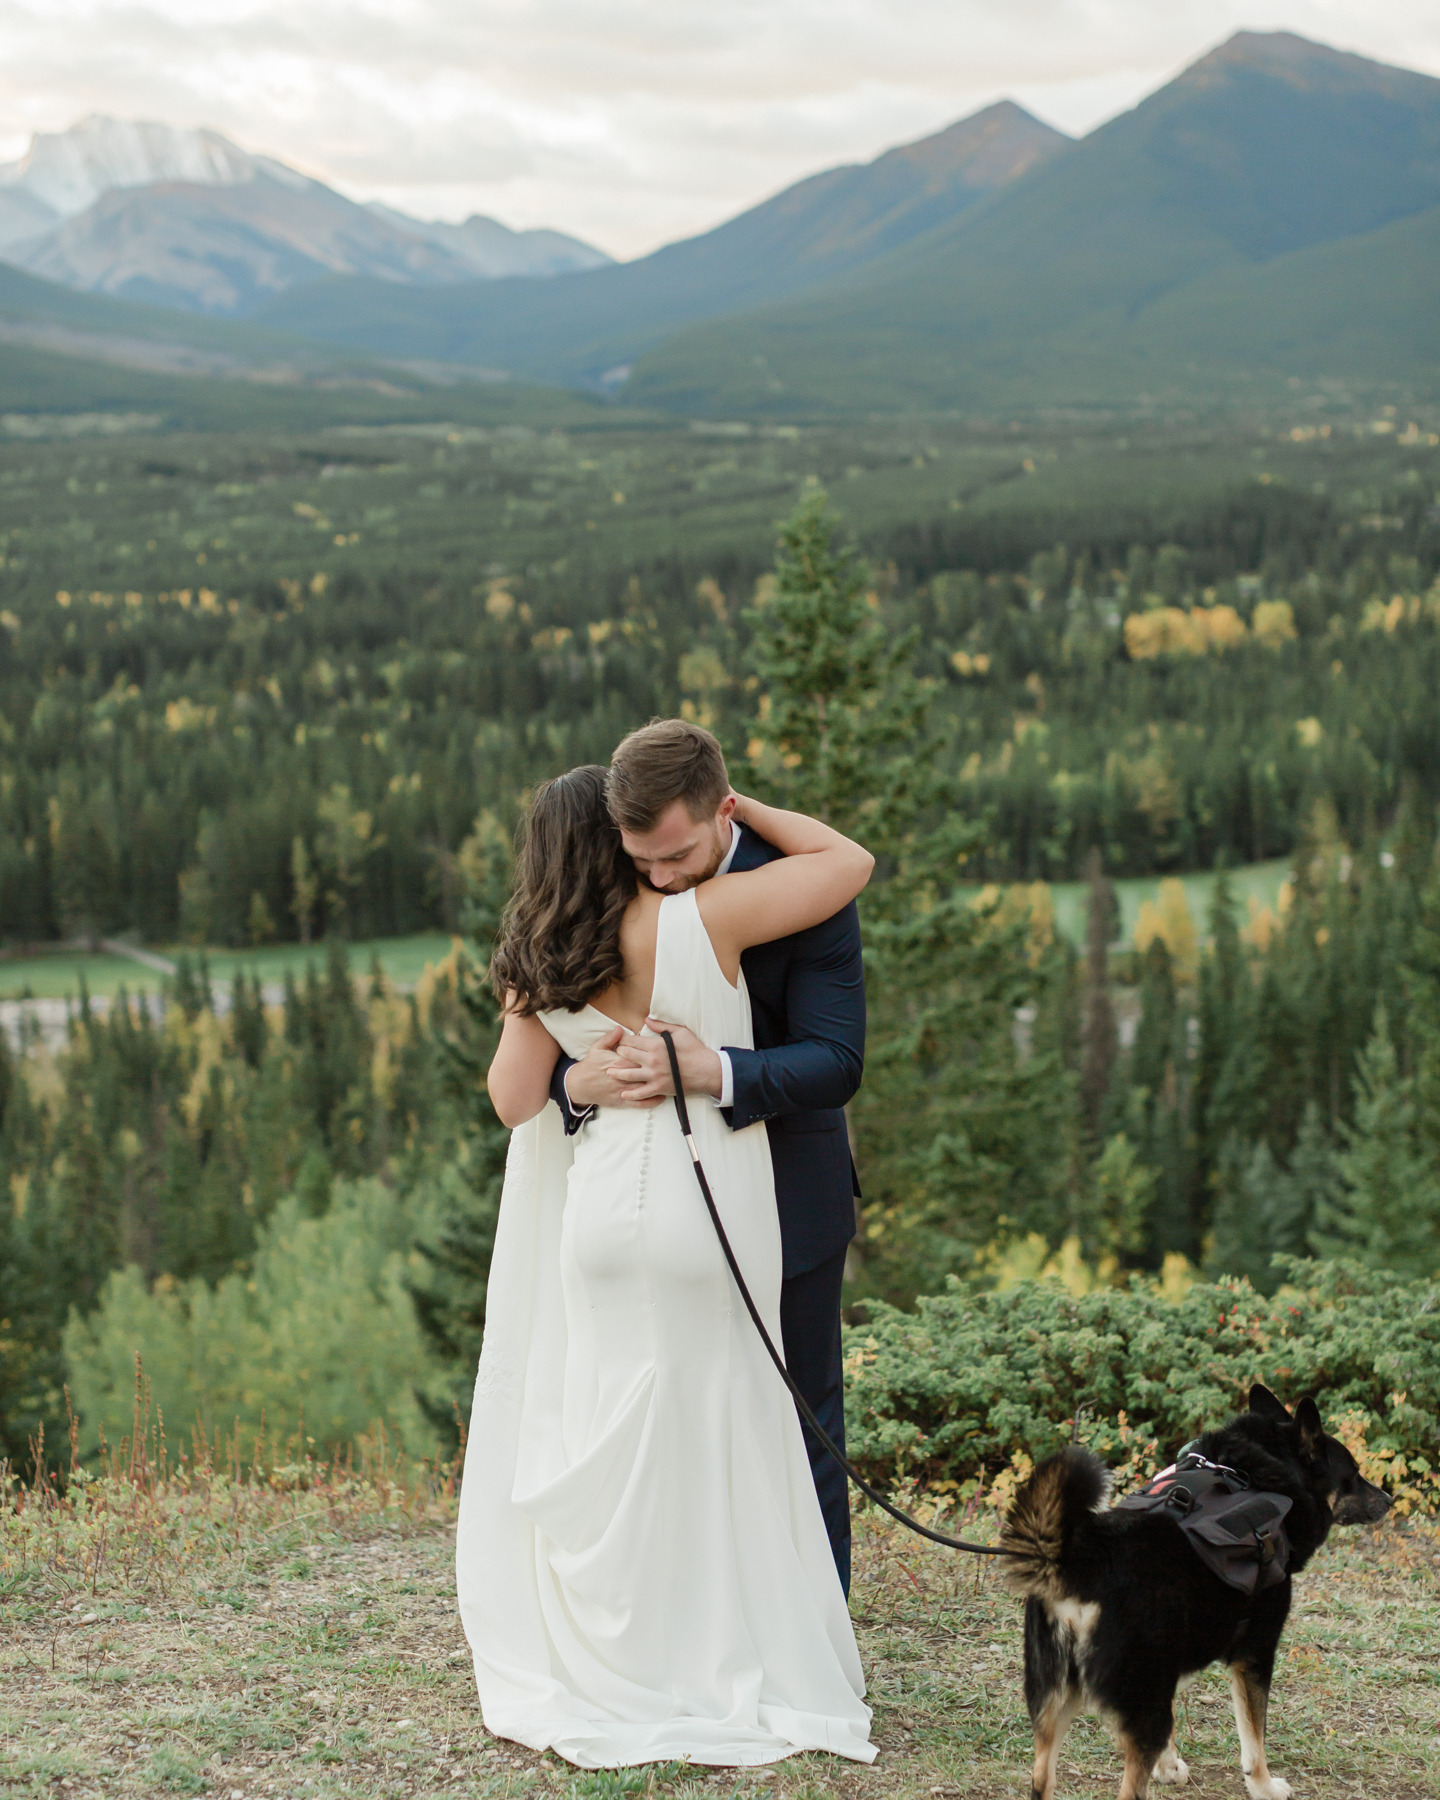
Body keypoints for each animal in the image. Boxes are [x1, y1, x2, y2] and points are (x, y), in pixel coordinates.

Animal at [1000, 1389, 1382, 1800]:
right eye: (1354, 1475)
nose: (1388, 1498)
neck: (1259, 1472)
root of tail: (1084, 1558)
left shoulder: (1175, 1659)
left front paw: (1168, 1768)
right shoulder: (1254, 1655)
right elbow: (1254, 1742)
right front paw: (1264, 1787)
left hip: (1053, 1700)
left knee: (1042, 1779)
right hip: (1137, 1704)